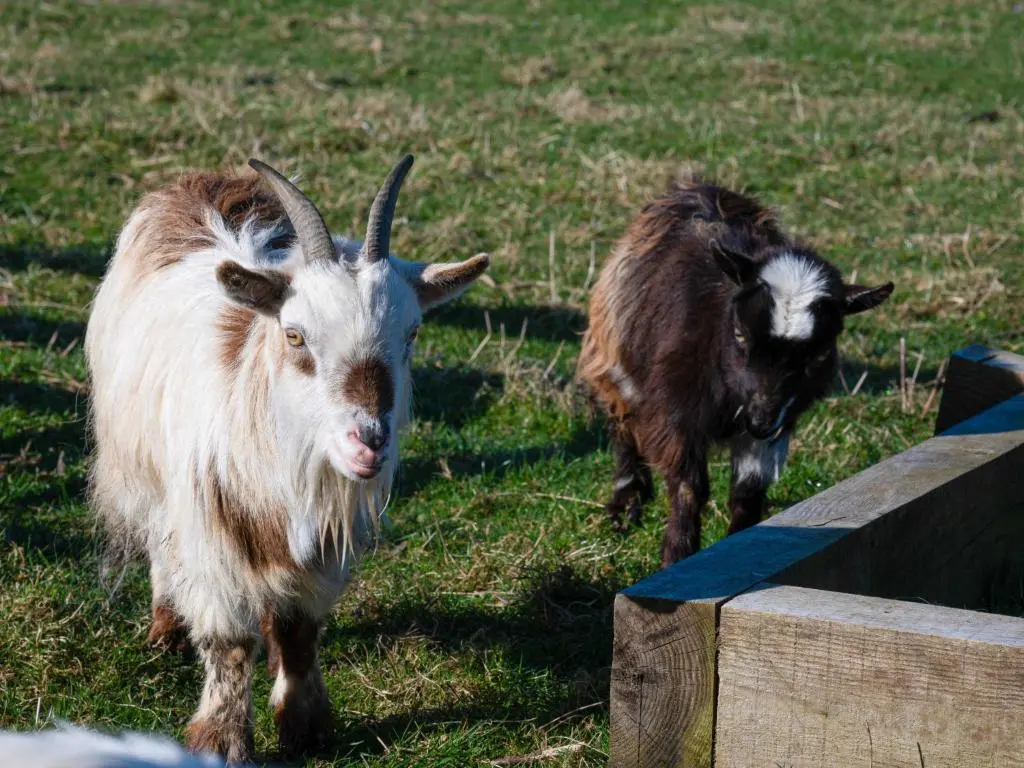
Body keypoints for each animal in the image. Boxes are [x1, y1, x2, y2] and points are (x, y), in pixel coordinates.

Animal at [85, 155, 489, 761]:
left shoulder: (321, 538)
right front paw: (221, 740)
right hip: (144, 469)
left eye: (412, 332)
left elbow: (299, 630)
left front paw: (305, 725)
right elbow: (228, 640)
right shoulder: (210, 524)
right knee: (159, 538)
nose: (368, 440)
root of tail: (212, 177)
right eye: (295, 335)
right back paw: (166, 627)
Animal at [577, 179, 893, 566]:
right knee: (622, 424)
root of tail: (698, 187)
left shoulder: (775, 425)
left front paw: (737, 549)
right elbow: (689, 486)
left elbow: (748, 491)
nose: (759, 420)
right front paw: (677, 558)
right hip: (612, 359)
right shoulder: (676, 412)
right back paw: (627, 501)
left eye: (818, 353)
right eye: (740, 334)